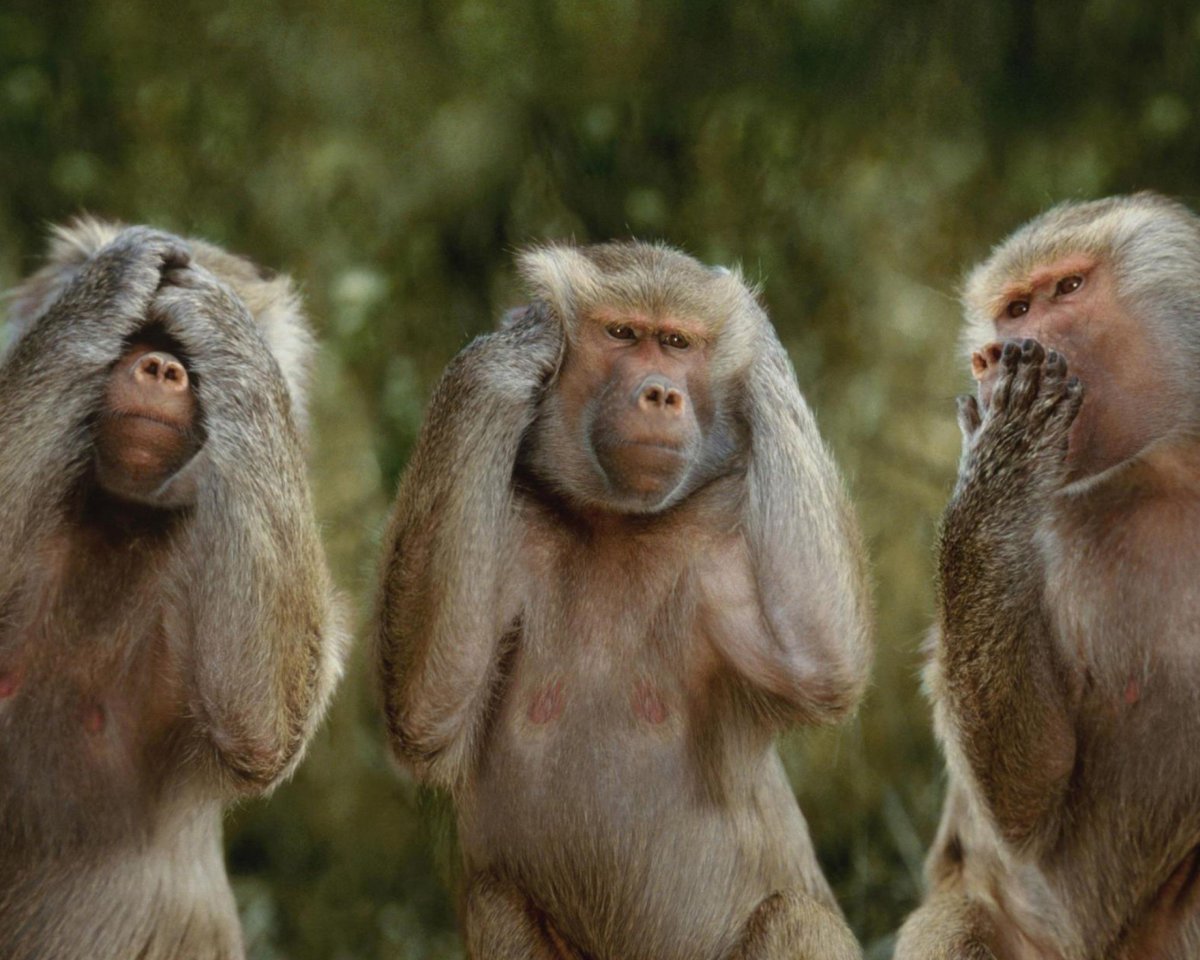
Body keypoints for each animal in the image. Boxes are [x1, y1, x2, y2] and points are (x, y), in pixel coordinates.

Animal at [0, 219, 347, 960]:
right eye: (139, 336)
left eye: (186, 351)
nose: (162, 368)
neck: (118, 521)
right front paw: (108, 281)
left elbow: (263, 723)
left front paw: (222, 317)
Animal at [375, 241, 872, 960]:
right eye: (622, 334)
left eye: (677, 342)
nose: (661, 393)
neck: (614, 522)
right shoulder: (512, 523)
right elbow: (426, 712)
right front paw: (513, 348)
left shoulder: (718, 537)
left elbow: (821, 661)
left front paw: (759, 342)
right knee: (496, 902)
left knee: (795, 919)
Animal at [894, 193, 1200, 960]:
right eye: (1012, 308)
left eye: (1065, 289)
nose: (990, 354)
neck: (1174, 473)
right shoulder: (1045, 526)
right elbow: (1029, 795)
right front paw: (999, 457)